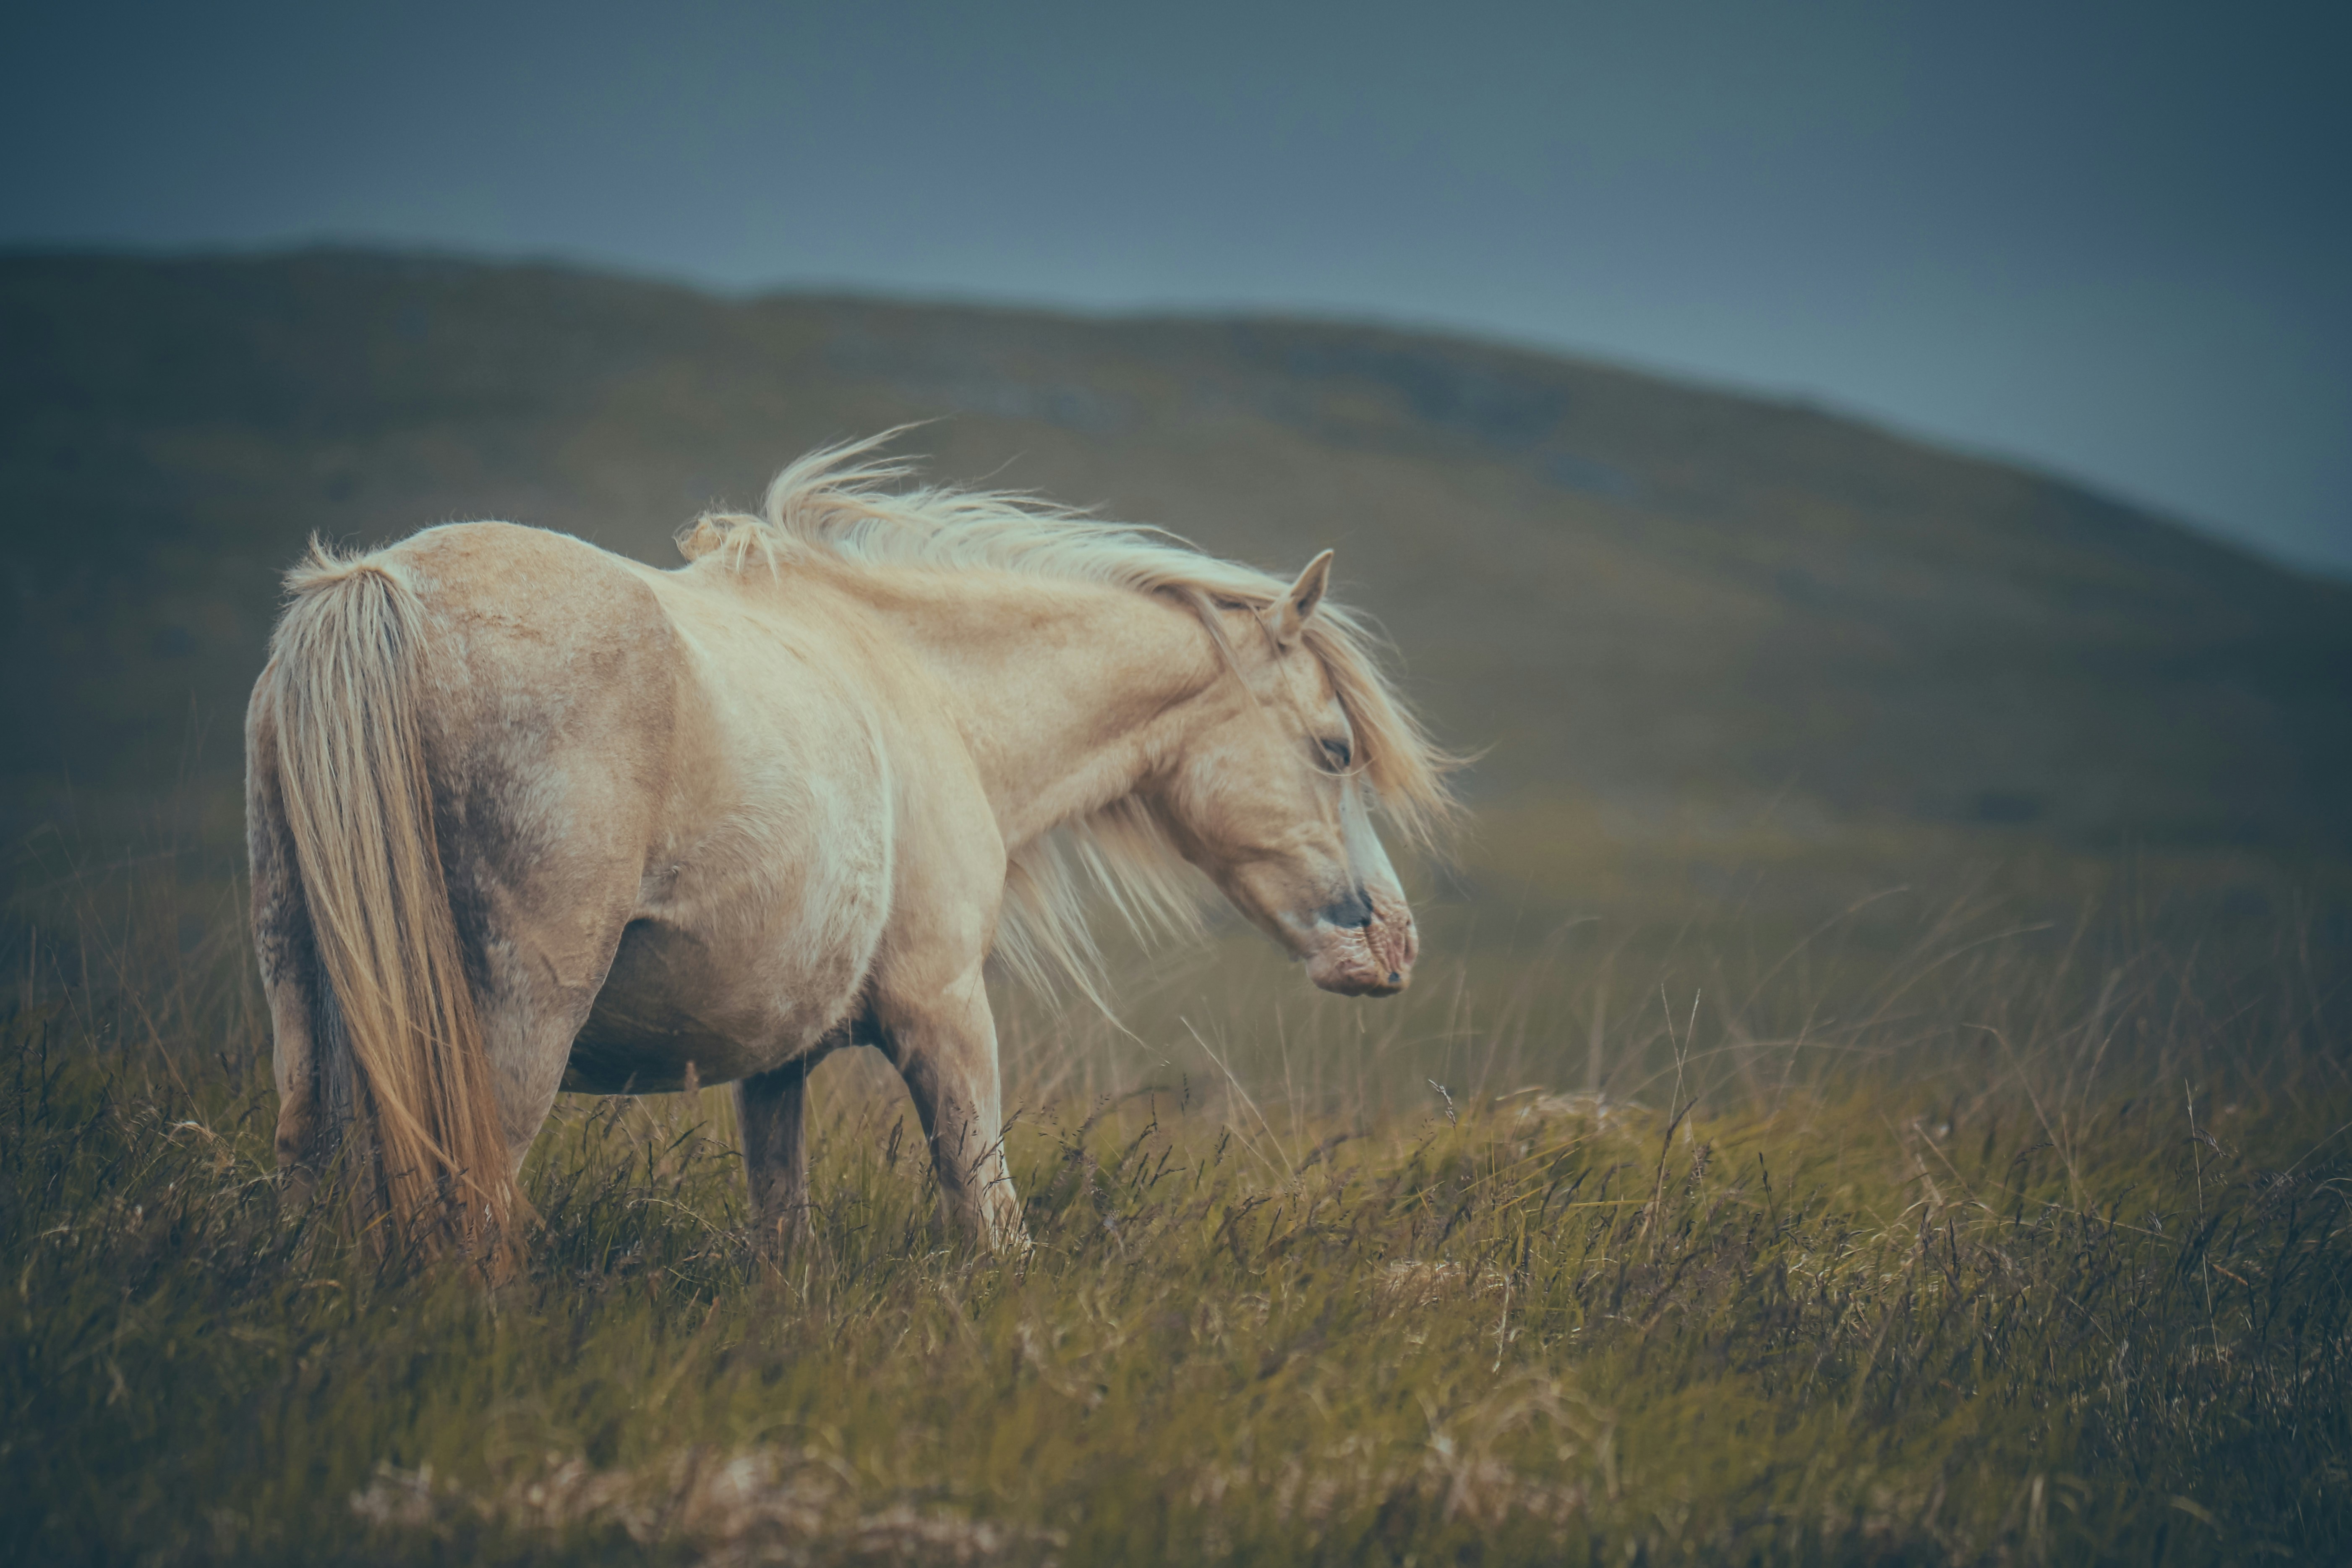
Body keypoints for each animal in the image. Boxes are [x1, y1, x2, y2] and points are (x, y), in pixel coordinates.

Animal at [245, 434, 1456, 1269]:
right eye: (1334, 748)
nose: (1393, 945)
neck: (933, 693)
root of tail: (378, 591)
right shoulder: (943, 1012)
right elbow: (991, 1222)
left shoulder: (775, 1057)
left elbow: (785, 1241)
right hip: (512, 1022)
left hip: (306, 999)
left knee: (307, 1163)